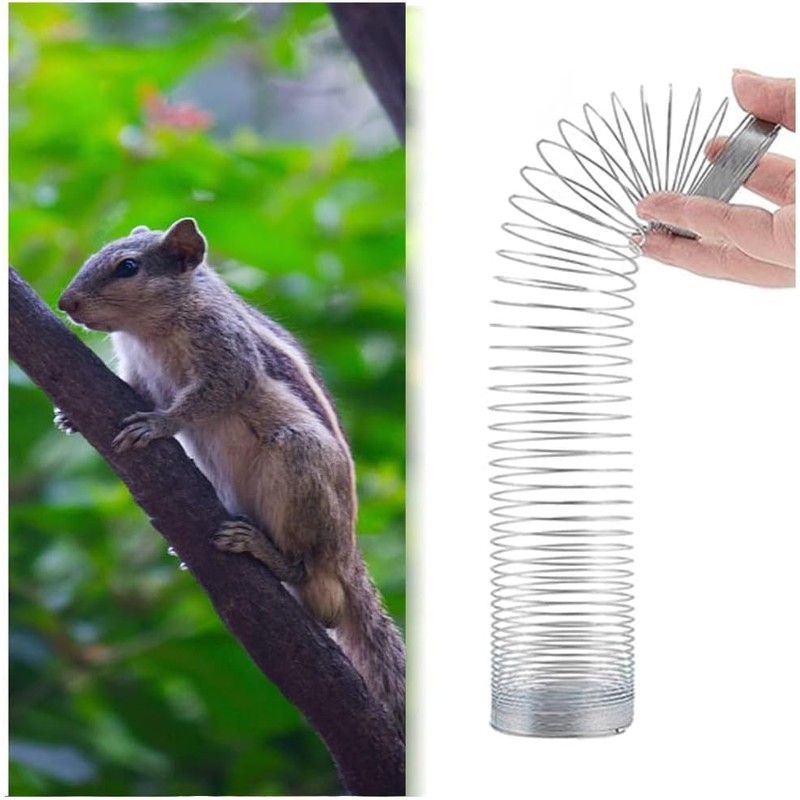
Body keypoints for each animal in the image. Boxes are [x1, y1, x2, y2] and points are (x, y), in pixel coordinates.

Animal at [56, 218, 405, 738]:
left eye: (128, 267)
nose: (65, 304)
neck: (150, 329)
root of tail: (347, 556)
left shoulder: (225, 351)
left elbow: (212, 394)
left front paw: (159, 424)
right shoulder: (140, 371)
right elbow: (139, 391)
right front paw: (70, 418)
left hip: (298, 464)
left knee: (308, 575)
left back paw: (261, 548)